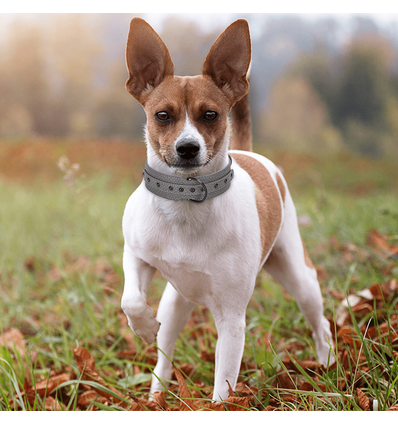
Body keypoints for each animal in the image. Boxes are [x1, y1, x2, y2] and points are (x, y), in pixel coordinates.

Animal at [120, 17, 332, 400]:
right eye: (162, 115)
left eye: (210, 115)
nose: (188, 147)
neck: (186, 203)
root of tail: (251, 153)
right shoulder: (137, 254)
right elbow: (131, 299)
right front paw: (142, 327)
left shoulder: (232, 318)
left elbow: (224, 382)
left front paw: (218, 403)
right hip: (175, 303)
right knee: (165, 349)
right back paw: (156, 395)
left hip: (299, 276)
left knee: (320, 322)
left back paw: (326, 366)